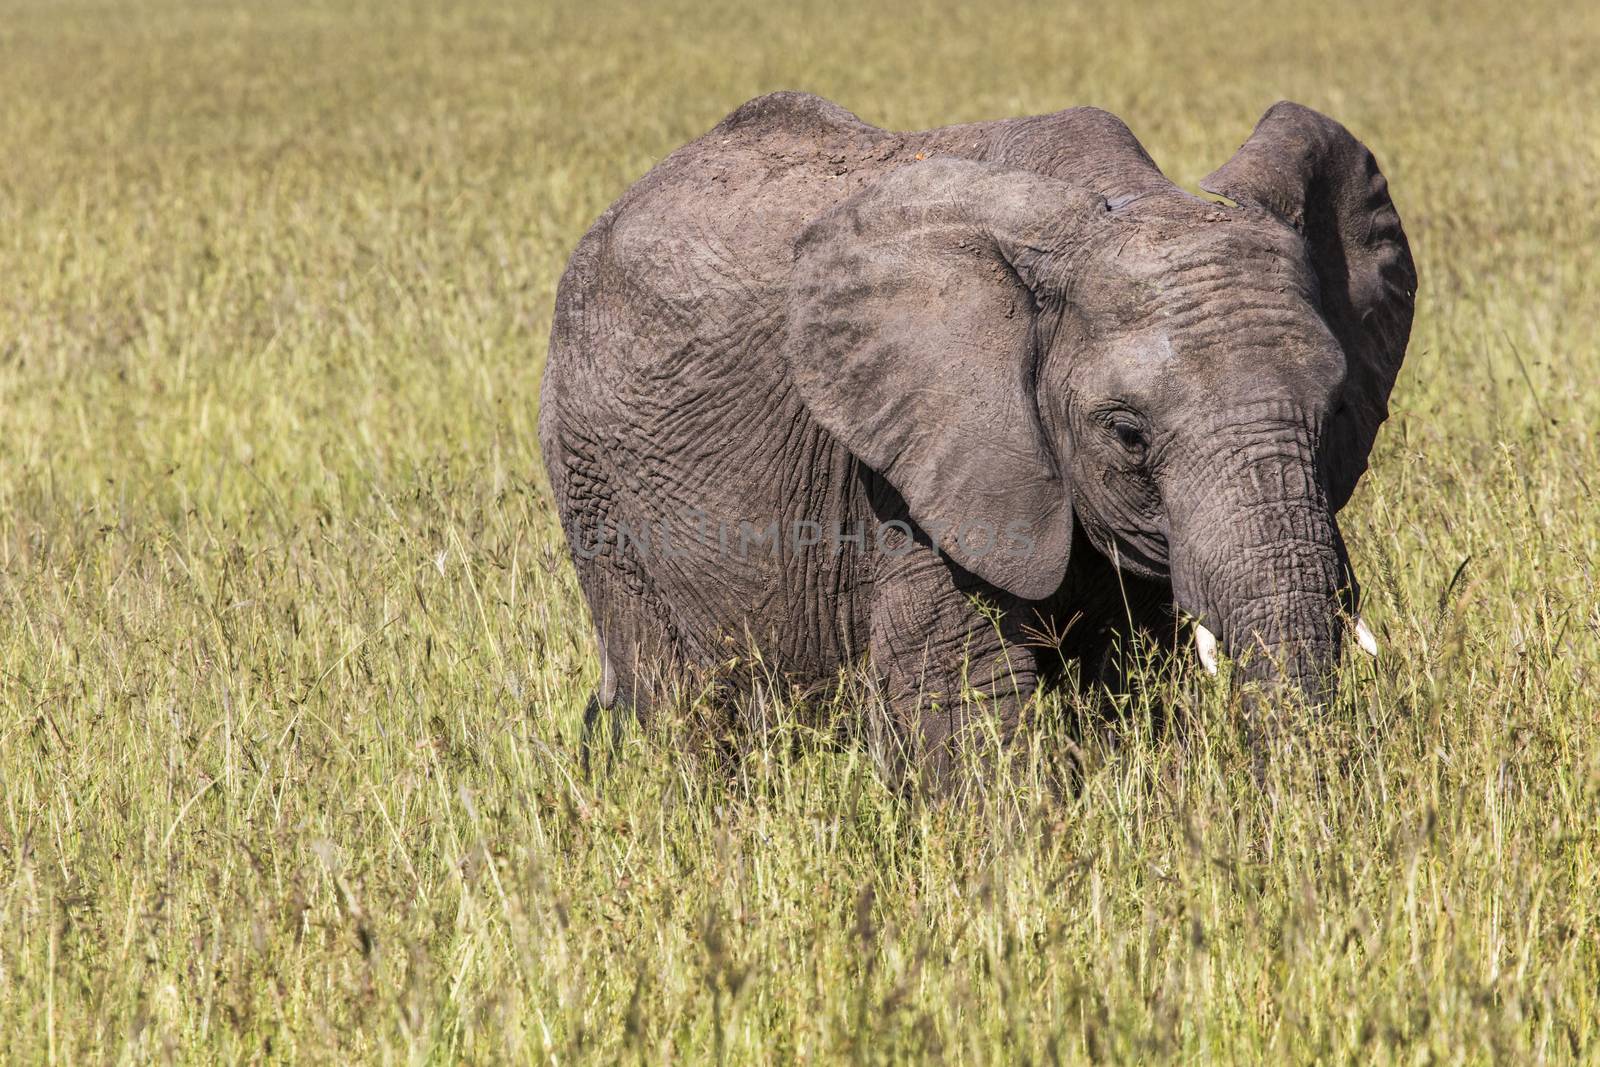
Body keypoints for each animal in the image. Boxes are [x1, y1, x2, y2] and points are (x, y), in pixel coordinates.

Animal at [537, 93, 1414, 777]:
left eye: (1337, 411)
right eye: (1128, 434)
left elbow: (1129, 674)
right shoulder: (909, 469)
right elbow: (962, 682)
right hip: (594, 484)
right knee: (675, 701)